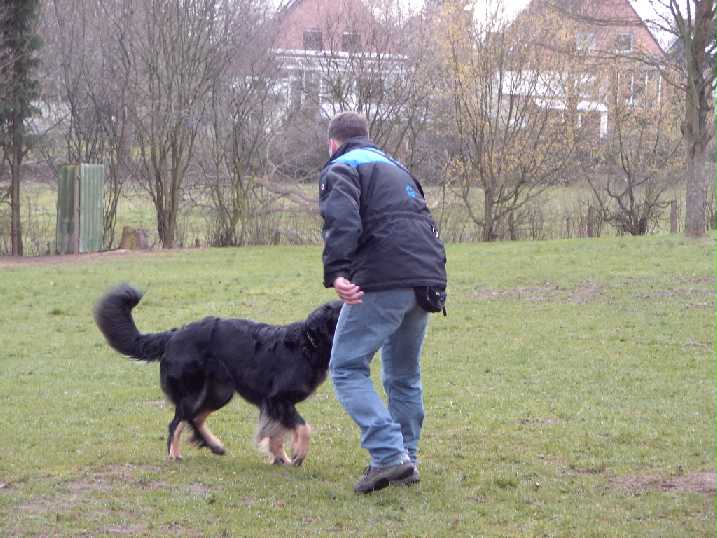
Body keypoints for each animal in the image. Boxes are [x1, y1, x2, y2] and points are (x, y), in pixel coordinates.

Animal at [94, 284, 342, 465]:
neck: (307, 344)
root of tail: (173, 335)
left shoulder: (274, 404)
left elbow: (277, 433)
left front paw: (281, 458)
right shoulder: (277, 399)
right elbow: (303, 427)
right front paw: (298, 454)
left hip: (220, 392)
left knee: (194, 419)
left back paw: (212, 445)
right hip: (193, 391)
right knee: (179, 422)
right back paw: (178, 453)